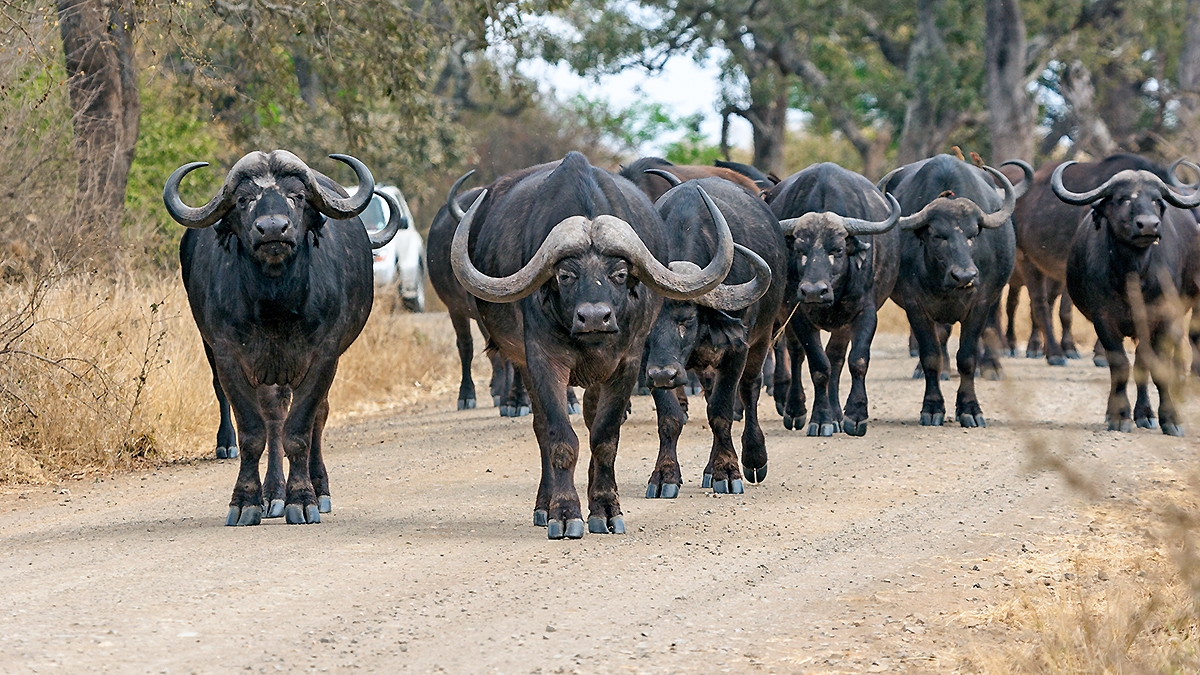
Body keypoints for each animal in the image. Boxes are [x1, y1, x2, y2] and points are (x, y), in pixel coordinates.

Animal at [167, 150, 404, 525]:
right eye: (244, 199)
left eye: (298, 196)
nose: (273, 229)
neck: (274, 302)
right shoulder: (228, 355)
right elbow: (254, 432)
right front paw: (246, 501)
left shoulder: (324, 356)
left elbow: (301, 431)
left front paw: (304, 499)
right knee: (272, 417)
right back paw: (271, 494)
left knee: (315, 417)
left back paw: (316, 490)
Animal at [449, 152, 739, 539]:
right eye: (565, 275)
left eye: (619, 273)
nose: (594, 318)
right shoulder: (542, 360)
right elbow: (559, 438)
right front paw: (564, 512)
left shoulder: (628, 364)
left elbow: (604, 437)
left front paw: (605, 508)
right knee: (542, 429)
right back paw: (543, 505)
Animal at [640, 172, 780, 495]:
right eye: (648, 322)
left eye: (687, 319)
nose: (663, 374)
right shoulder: (648, 361)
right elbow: (670, 417)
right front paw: (664, 475)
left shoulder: (737, 348)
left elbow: (722, 410)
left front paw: (726, 472)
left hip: (763, 338)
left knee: (750, 388)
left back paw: (754, 457)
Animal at [766, 163, 902, 436]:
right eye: (800, 250)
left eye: (837, 249)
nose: (814, 291)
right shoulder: (798, 313)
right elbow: (819, 366)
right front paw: (821, 419)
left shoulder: (865, 311)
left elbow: (857, 360)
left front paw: (855, 415)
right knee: (797, 354)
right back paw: (796, 410)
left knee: (837, 357)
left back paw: (838, 414)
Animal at [1053, 163, 1200, 436]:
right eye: (1123, 199)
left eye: (1156, 200)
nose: (1149, 225)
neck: (1133, 274)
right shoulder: (1103, 320)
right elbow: (1120, 365)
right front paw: (1119, 415)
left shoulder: (1163, 319)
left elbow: (1156, 366)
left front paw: (1170, 419)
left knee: (1143, 361)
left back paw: (1145, 413)